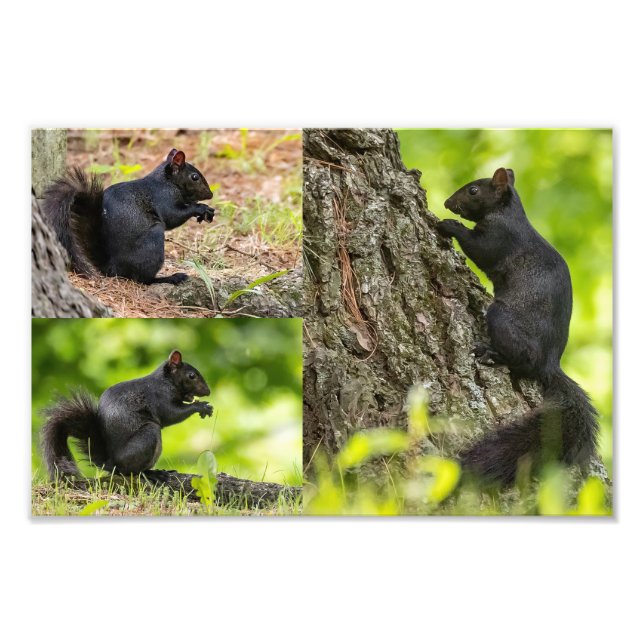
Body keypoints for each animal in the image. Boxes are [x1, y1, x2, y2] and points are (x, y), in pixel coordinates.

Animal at [41, 350, 213, 480]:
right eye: (191, 375)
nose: (208, 391)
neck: (165, 381)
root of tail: (112, 463)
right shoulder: (159, 398)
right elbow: (172, 414)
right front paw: (201, 406)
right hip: (148, 435)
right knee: (131, 471)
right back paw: (151, 474)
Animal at [42, 149, 215, 285]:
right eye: (194, 177)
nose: (210, 194)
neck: (166, 181)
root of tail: (112, 267)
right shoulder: (163, 198)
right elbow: (173, 216)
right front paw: (200, 208)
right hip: (153, 241)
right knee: (143, 279)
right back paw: (169, 278)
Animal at [436, 167, 599, 485]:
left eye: (474, 190)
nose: (449, 203)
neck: (506, 212)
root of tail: (550, 363)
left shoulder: (499, 238)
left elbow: (478, 248)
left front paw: (449, 225)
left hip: (502, 318)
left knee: (523, 363)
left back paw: (492, 353)